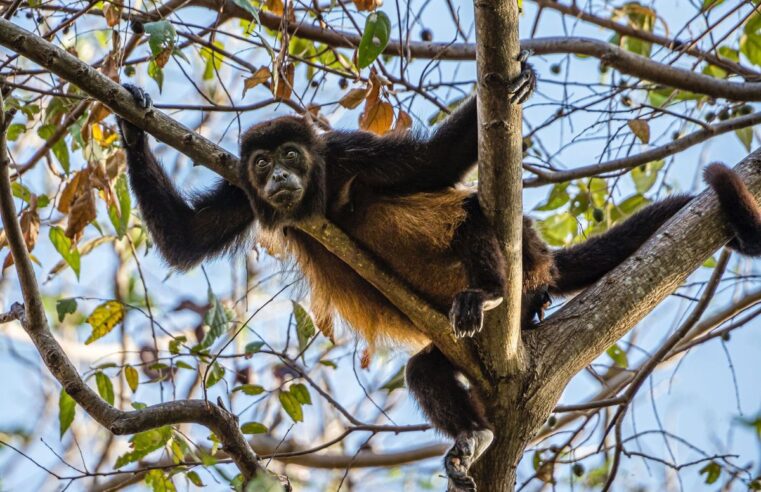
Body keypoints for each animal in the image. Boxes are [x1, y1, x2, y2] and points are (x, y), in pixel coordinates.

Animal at [116, 62, 760, 492]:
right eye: (260, 162)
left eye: (292, 156)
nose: (277, 177)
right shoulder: (243, 195)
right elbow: (186, 239)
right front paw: (129, 120)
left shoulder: (349, 154)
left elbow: (434, 164)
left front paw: (519, 81)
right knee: (424, 369)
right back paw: (472, 436)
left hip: (525, 270)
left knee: (476, 215)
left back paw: (493, 294)